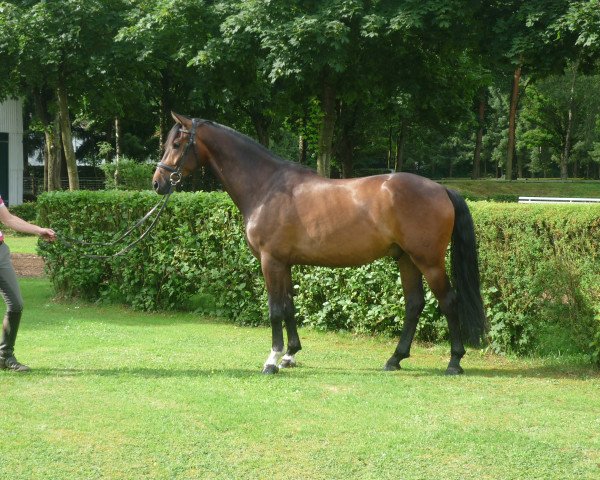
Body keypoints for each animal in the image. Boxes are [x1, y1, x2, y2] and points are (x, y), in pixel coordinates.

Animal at [152, 113, 486, 376]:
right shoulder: (284, 263)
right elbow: (289, 306)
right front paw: (290, 354)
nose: (158, 183)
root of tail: (441, 189)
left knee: (448, 301)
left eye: (177, 145)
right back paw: (395, 359)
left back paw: (454, 362)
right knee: (414, 304)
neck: (267, 187)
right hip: (406, 259)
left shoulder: (270, 261)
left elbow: (275, 309)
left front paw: (272, 360)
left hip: (428, 261)